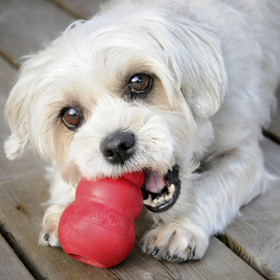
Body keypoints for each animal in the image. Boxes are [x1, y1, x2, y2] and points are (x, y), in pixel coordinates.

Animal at [3, 0, 280, 262]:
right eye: (71, 115)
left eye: (139, 81)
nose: (117, 147)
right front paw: (64, 207)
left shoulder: (243, 154)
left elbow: (210, 188)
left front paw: (178, 229)